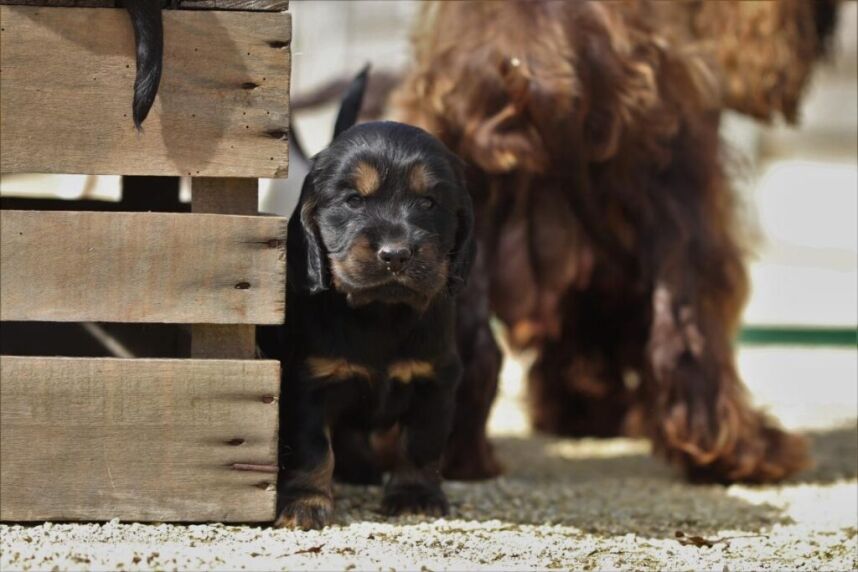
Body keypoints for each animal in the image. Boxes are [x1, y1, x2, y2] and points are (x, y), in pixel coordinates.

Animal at [264, 78, 472, 528]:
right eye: (353, 201)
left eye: (429, 203)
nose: (396, 254)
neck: (381, 314)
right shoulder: (309, 383)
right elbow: (313, 449)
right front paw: (305, 502)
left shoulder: (436, 379)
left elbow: (421, 442)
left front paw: (415, 494)